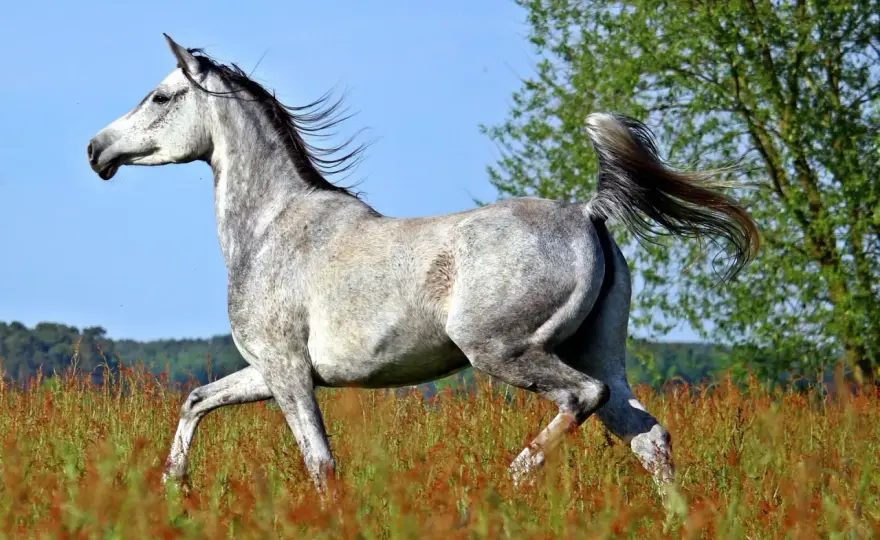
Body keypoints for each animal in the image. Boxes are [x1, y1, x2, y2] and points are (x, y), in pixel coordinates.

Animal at [86, 34, 759, 494]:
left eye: (161, 96)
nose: (97, 149)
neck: (273, 225)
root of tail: (588, 213)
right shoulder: (268, 371)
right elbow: (196, 400)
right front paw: (173, 485)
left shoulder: (287, 372)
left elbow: (320, 464)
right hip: (599, 353)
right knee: (649, 438)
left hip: (504, 351)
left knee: (582, 399)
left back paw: (511, 480)